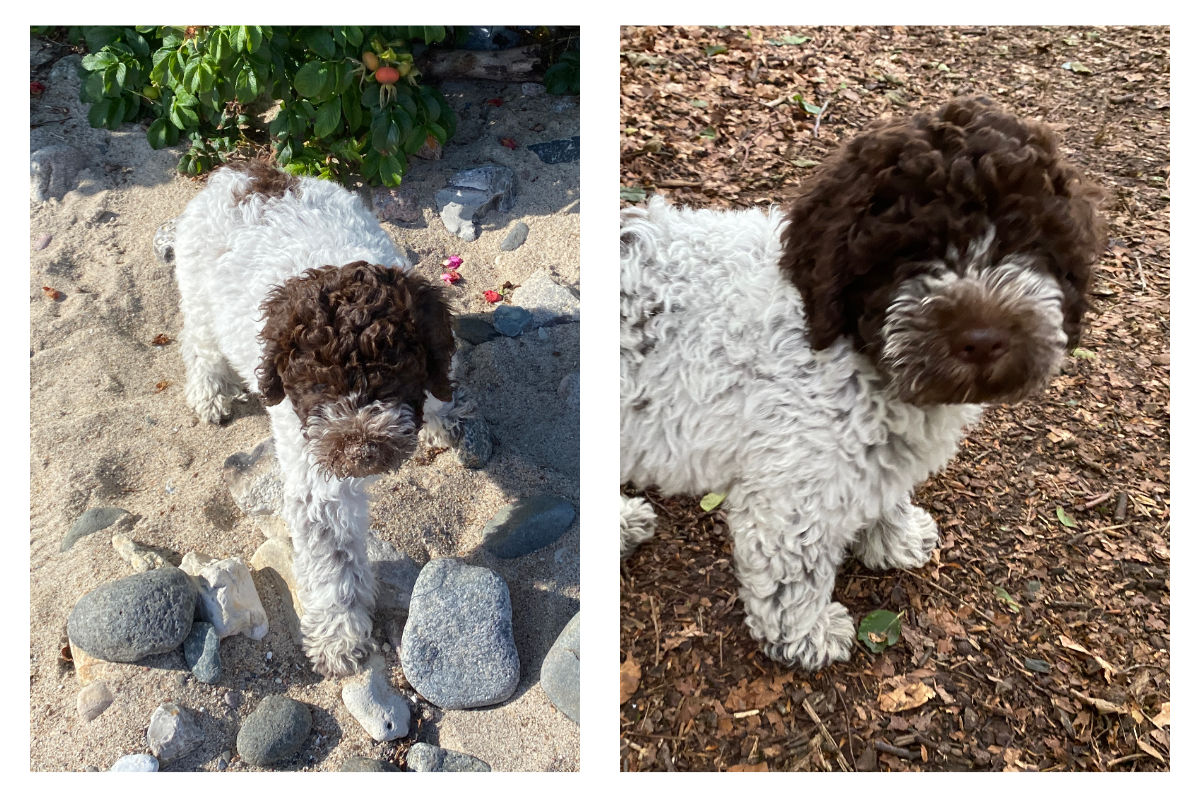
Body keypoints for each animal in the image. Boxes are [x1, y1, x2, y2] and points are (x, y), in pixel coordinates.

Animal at [174, 160, 472, 676]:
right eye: (316, 386)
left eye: (393, 376)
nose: (360, 452)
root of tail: (237, 172)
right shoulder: (319, 478)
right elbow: (334, 559)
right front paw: (340, 636)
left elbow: (439, 389)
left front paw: (444, 420)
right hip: (197, 298)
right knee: (198, 344)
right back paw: (210, 393)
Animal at [624, 95, 1099, 671]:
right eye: (910, 251)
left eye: (1027, 240)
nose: (983, 340)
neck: (854, 348)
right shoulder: (792, 493)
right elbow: (792, 577)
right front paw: (806, 636)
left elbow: (885, 491)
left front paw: (896, 538)